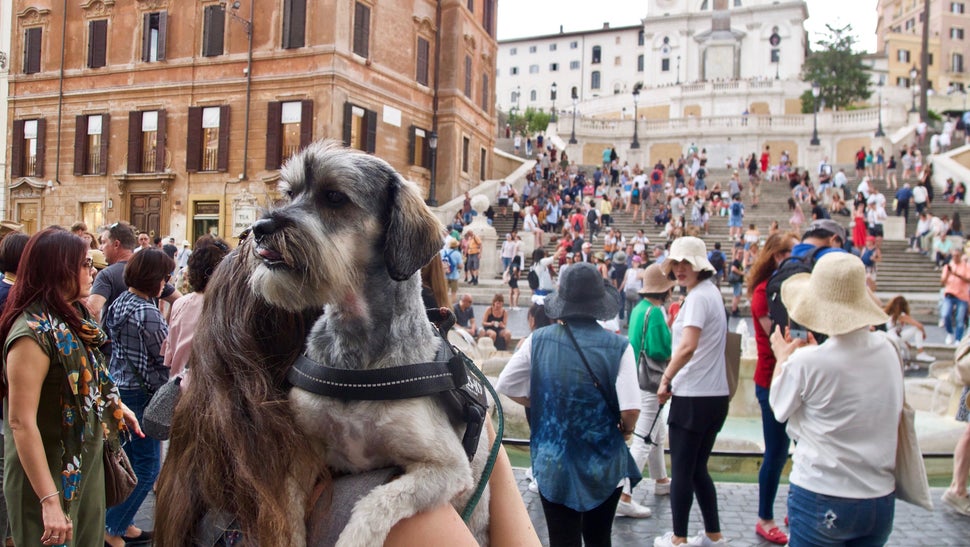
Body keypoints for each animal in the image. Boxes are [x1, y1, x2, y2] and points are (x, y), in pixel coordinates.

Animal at [248, 142, 488, 547]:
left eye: (334, 196)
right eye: (291, 193)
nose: (259, 228)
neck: (355, 344)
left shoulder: (448, 467)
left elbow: (379, 500)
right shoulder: (303, 453)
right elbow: (289, 508)